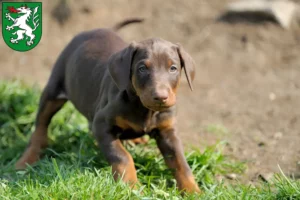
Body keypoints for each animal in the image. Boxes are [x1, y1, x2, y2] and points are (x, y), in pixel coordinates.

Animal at [15, 18, 200, 193]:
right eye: (142, 68)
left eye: (173, 68)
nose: (160, 97)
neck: (144, 109)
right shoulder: (102, 123)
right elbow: (122, 156)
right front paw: (130, 184)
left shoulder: (167, 131)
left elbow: (181, 163)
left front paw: (193, 191)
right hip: (54, 89)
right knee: (41, 125)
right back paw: (27, 159)